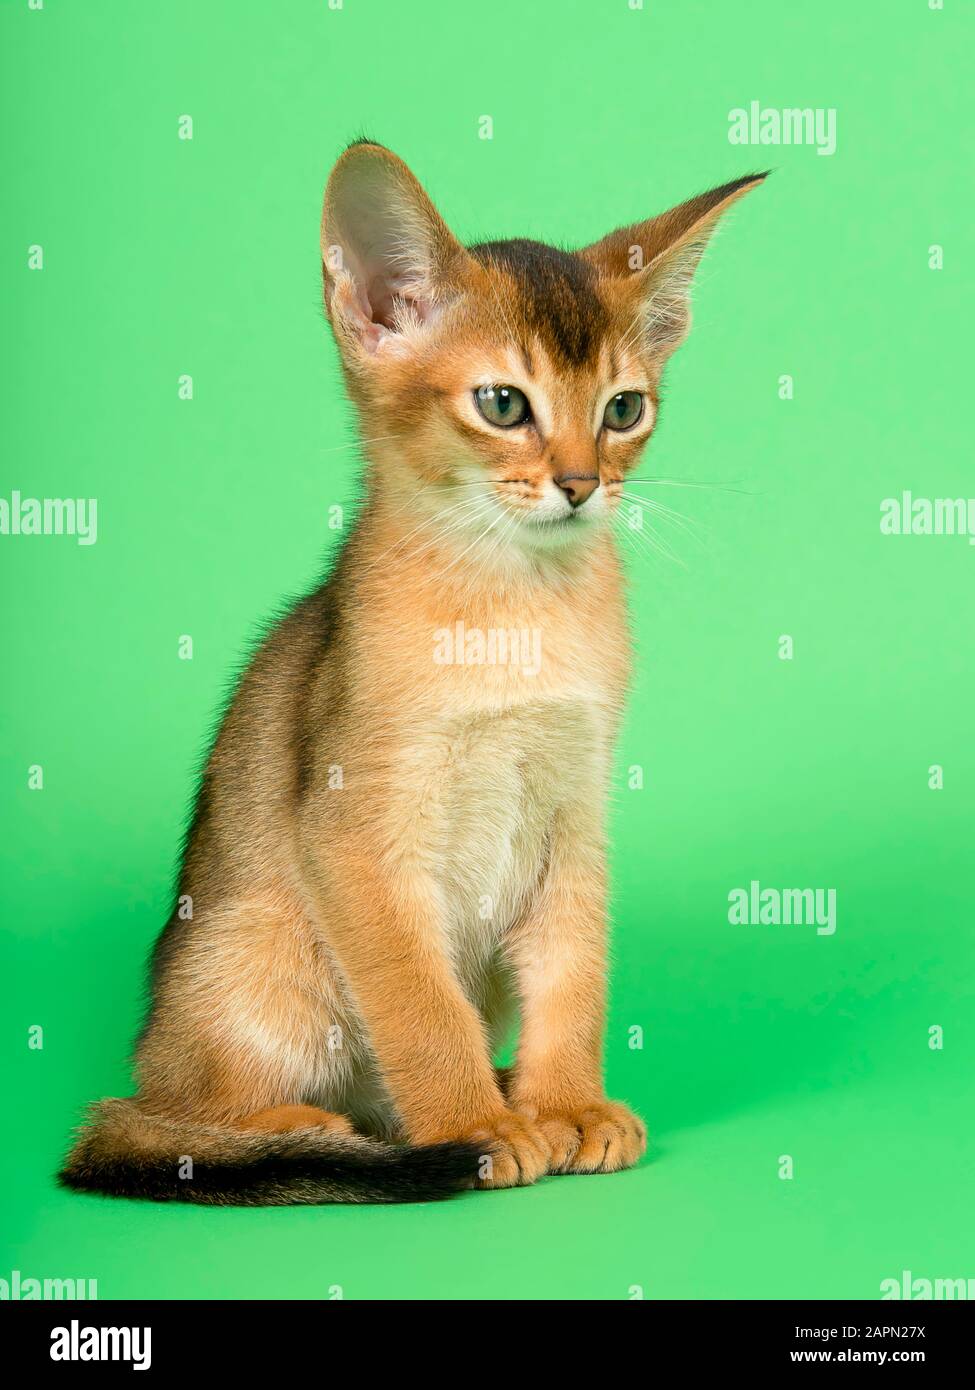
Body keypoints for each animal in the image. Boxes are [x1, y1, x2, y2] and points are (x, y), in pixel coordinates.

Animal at [60, 143, 762, 1206]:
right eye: (504, 404)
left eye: (623, 409)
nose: (580, 483)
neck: (516, 613)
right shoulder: (354, 833)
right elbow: (421, 1010)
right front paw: (474, 1126)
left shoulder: (576, 813)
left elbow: (575, 975)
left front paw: (565, 1105)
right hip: (263, 953)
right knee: (162, 1115)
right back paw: (313, 1128)